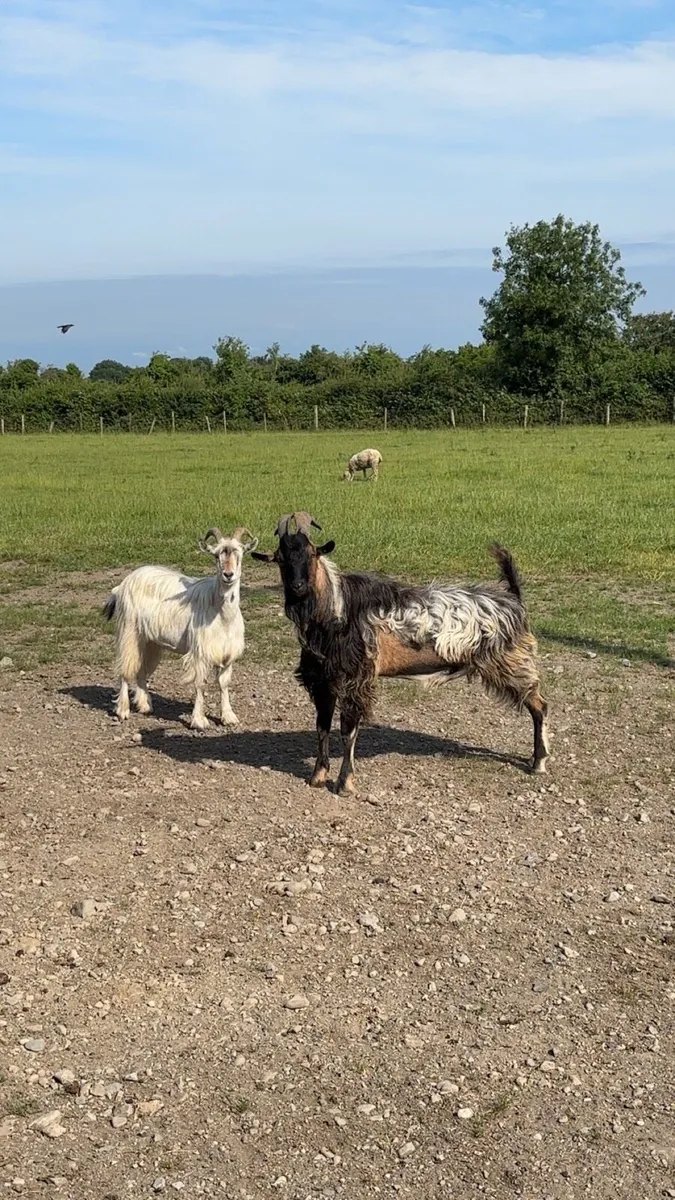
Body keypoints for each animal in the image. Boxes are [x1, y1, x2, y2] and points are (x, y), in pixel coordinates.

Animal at [103, 526, 258, 730]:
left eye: (240, 554)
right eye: (216, 555)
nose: (228, 574)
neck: (222, 616)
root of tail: (122, 584)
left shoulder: (227, 653)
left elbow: (223, 683)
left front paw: (228, 717)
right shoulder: (200, 652)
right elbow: (200, 683)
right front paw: (199, 720)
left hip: (150, 640)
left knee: (142, 669)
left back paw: (145, 706)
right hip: (129, 630)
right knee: (126, 667)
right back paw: (123, 710)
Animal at [253, 512, 549, 794]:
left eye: (312, 553)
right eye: (280, 559)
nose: (298, 586)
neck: (337, 608)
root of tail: (513, 599)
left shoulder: (357, 676)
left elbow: (348, 729)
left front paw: (345, 783)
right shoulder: (323, 679)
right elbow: (322, 725)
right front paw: (317, 776)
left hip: (512, 662)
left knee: (539, 706)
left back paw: (539, 763)